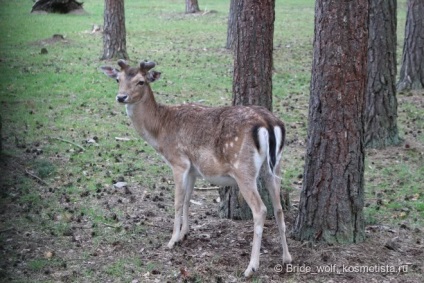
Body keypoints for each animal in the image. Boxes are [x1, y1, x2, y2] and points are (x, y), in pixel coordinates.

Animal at [100, 60, 292, 278]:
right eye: (118, 79)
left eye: (141, 81)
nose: (121, 97)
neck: (159, 131)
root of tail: (269, 123)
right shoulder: (192, 170)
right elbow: (187, 200)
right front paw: (184, 234)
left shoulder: (178, 161)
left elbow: (177, 201)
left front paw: (172, 240)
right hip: (275, 167)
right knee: (278, 208)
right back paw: (286, 258)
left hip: (244, 170)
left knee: (260, 210)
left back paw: (251, 267)